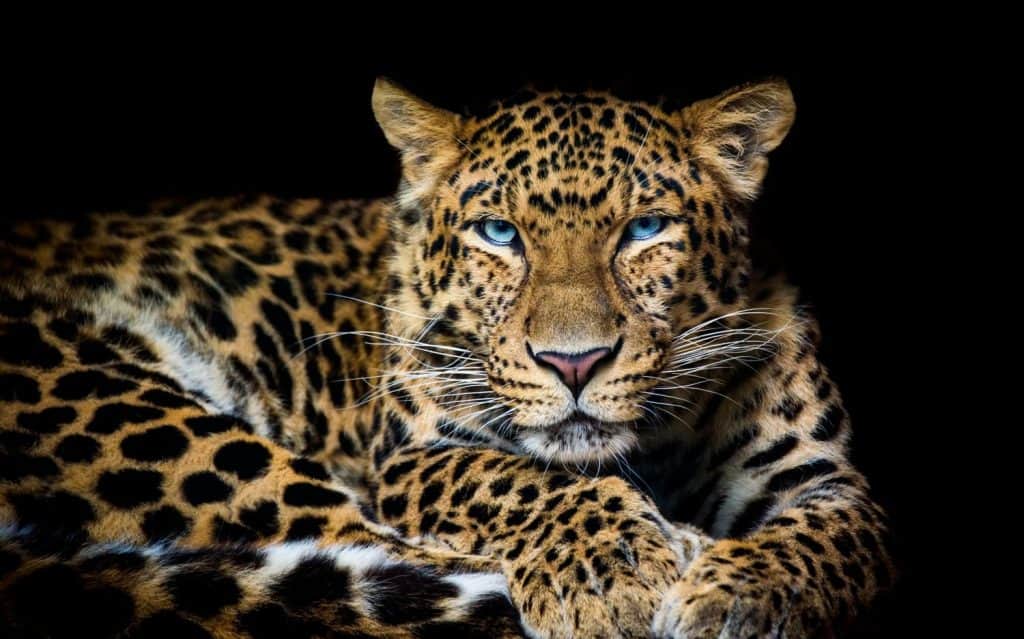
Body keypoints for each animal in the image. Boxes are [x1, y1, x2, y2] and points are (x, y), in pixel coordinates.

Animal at [0, 77, 894, 638]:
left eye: (645, 229)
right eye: (499, 233)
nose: (575, 363)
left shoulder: (822, 478)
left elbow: (838, 538)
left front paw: (744, 595)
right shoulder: (418, 456)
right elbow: (521, 480)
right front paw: (614, 569)